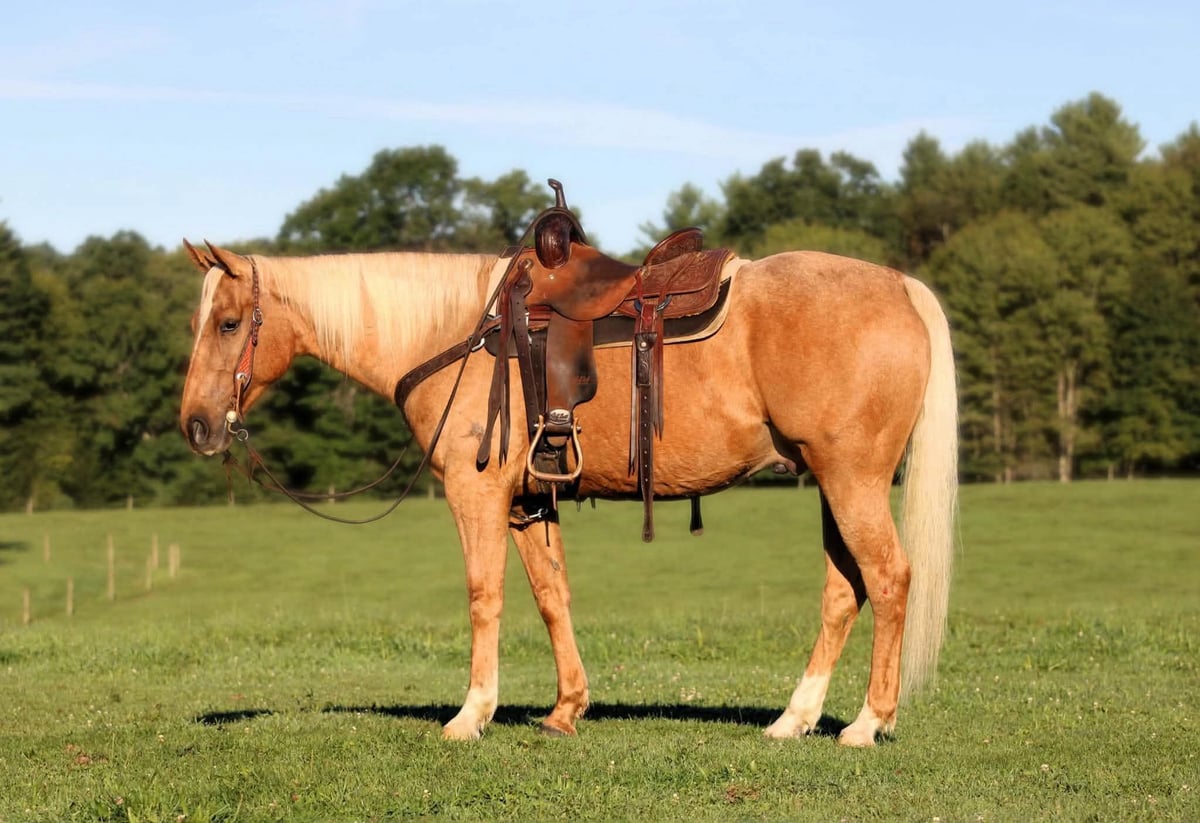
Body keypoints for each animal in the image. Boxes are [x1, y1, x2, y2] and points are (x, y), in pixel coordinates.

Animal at [179, 239, 957, 747]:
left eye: (228, 323)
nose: (196, 425)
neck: (458, 332)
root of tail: (899, 284)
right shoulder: (528, 503)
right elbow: (552, 594)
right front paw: (565, 708)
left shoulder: (477, 494)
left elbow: (484, 596)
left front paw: (471, 714)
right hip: (830, 482)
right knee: (844, 591)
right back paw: (794, 719)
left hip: (851, 481)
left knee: (889, 578)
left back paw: (867, 722)